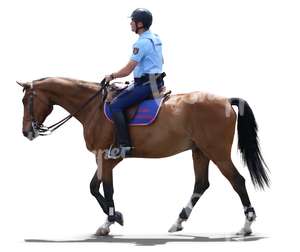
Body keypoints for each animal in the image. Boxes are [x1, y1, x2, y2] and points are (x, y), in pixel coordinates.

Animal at [18, 77, 270, 236]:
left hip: (216, 152)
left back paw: (246, 226)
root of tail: (226, 100)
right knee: (201, 184)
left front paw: (109, 222)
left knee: (237, 181)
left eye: (25, 101)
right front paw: (116, 217)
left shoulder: (105, 157)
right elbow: (93, 187)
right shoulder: (109, 159)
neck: (93, 109)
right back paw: (178, 221)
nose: (26, 132)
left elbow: (106, 189)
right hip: (200, 151)